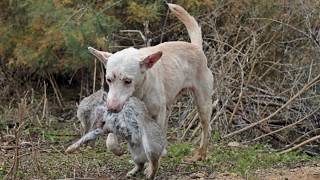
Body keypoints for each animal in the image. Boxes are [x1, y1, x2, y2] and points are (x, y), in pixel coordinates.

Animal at [87, 3, 212, 160]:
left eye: (128, 81)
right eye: (109, 80)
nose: (112, 108)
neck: (140, 90)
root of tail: (195, 47)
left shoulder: (156, 114)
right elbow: (110, 140)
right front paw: (116, 148)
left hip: (202, 104)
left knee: (205, 127)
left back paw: (201, 153)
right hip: (168, 106)